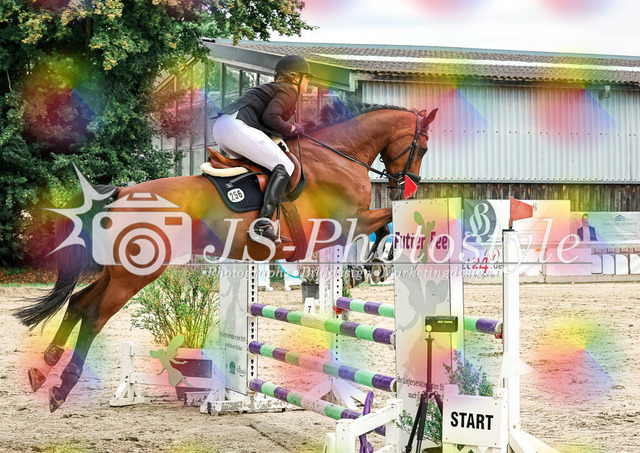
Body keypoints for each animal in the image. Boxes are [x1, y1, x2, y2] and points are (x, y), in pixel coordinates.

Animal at [14, 100, 438, 412]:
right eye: (422, 147)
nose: (408, 186)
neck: (340, 156)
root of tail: (121, 193)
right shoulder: (345, 222)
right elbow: (383, 220)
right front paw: (376, 261)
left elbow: (382, 223)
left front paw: (373, 264)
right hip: (135, 274)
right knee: (92, 315)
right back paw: (60, 389)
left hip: (119, 270)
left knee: (77, 302)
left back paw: (43, 370)